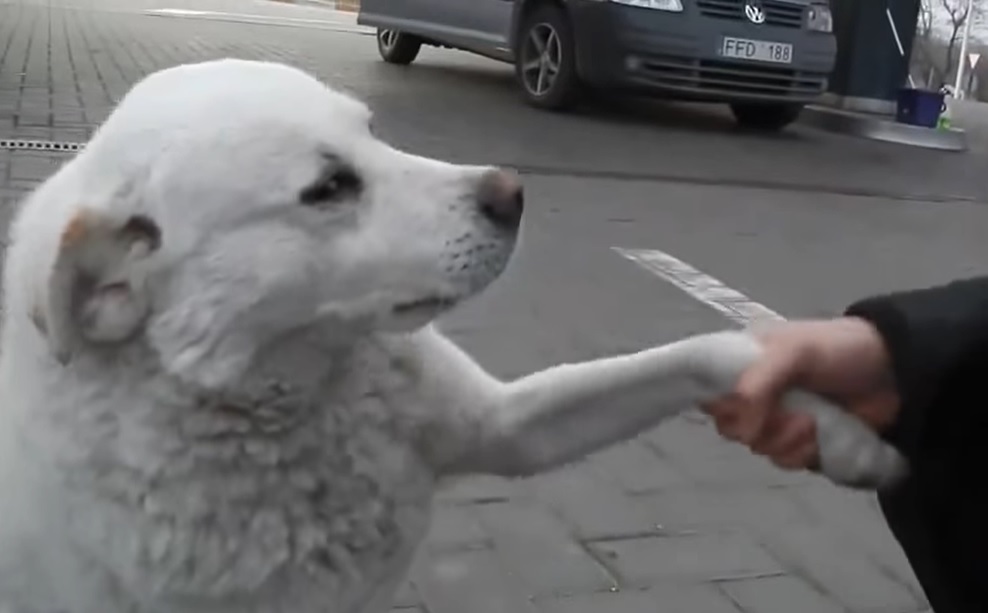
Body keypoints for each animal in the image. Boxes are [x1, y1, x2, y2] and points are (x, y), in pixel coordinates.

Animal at [0, 58, 904, 612]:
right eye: (330, 186)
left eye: (372, 131)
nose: (513, 192)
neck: (288, 400)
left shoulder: (508, 427)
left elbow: (706, 352)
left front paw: (844, 435)